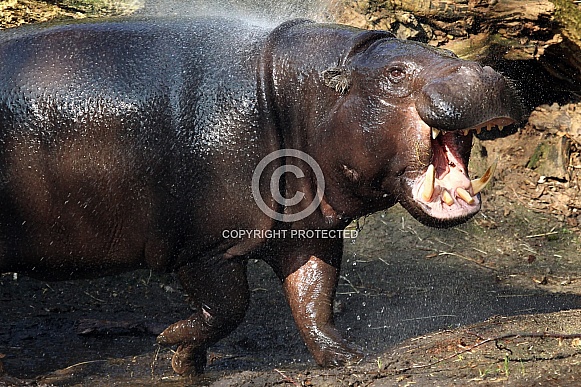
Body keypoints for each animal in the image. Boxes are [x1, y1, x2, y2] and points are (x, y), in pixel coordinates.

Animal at [0, 16, 520, 374]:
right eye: (395, 71)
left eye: (433, 46)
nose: (482, 73)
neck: (297, 94)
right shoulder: (205, 247)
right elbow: (231, 308)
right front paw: (173, 346)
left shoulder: (308, 231)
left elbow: (314, 296)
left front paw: (346, 357)